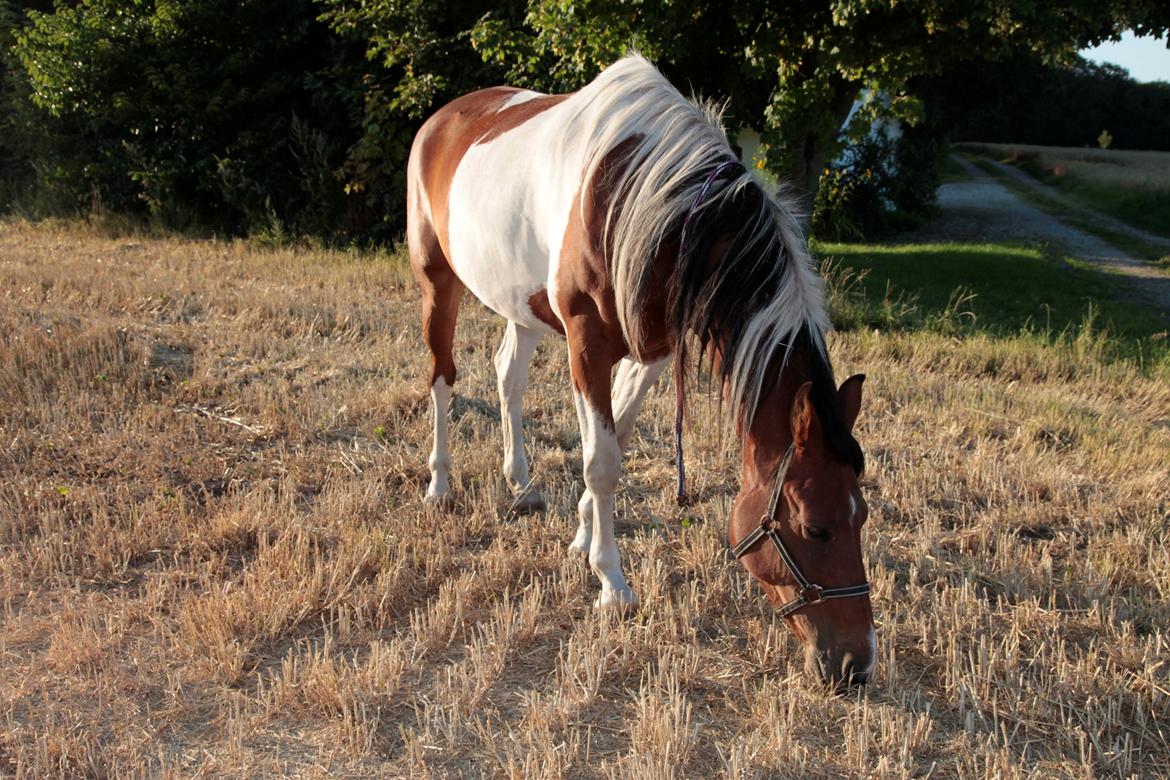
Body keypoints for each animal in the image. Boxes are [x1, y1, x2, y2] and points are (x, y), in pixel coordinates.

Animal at [407, 56, 875, 687]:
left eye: (862, 516)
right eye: (815, 528)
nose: (857, 664)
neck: (660, 210)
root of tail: (441, 119)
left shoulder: (650, 350)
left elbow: (615, 440)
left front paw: (583, 533)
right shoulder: (588, 343)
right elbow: (601, 461)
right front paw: (611, 580)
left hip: (522, 306)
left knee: (508, 377)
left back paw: (522, 484)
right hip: (438, 283)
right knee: (442, 378)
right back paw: (440, 484)